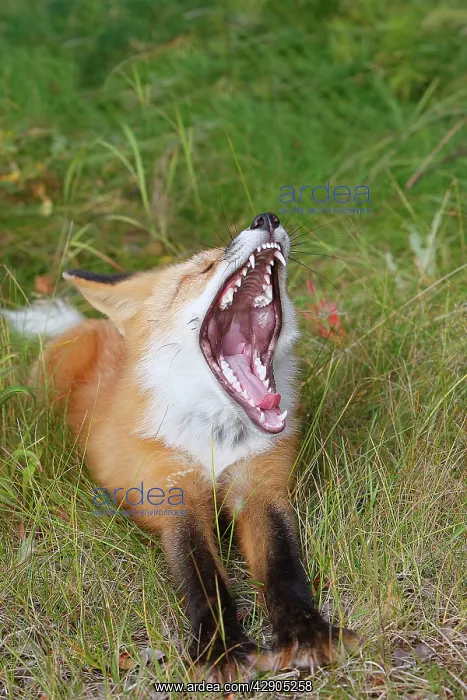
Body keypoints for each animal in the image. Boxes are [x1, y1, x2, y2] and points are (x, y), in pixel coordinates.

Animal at [25, 212, 357, 679]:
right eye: (202, 268)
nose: (266, 218)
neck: (217, 440)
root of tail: (90, 324)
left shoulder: (262, 487)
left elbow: (284, 570)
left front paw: (308, 633)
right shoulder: (174, 494)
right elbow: (204, 579)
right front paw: (221, 650)